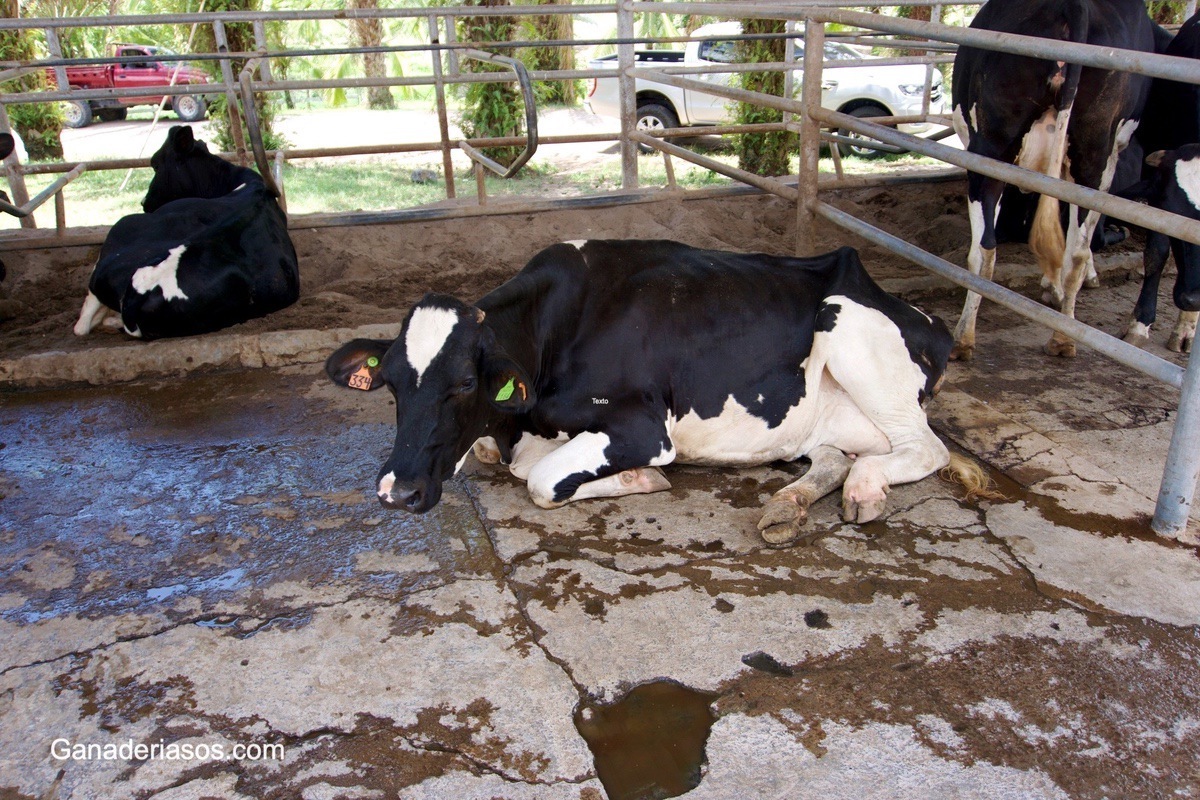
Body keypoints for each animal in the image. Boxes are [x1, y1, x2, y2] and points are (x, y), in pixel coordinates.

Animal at [325, 240, 974, 546]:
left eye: (464, 382)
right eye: (391, 385)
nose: (397, 491)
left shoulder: (642, 427)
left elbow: (541, 480)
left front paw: (642, 480)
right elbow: (496, 455)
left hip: (848, 323)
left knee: (927, 448)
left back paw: (866, 487)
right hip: (810, 419)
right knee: (835, 454)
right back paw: (787, 505)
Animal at [951, 0, 1156, 360]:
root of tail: (1074, 5)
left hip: (989, 149)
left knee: (985, 250)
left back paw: (963, 339)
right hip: (1092, 156)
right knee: (1075, 251)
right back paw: (1062, 338)